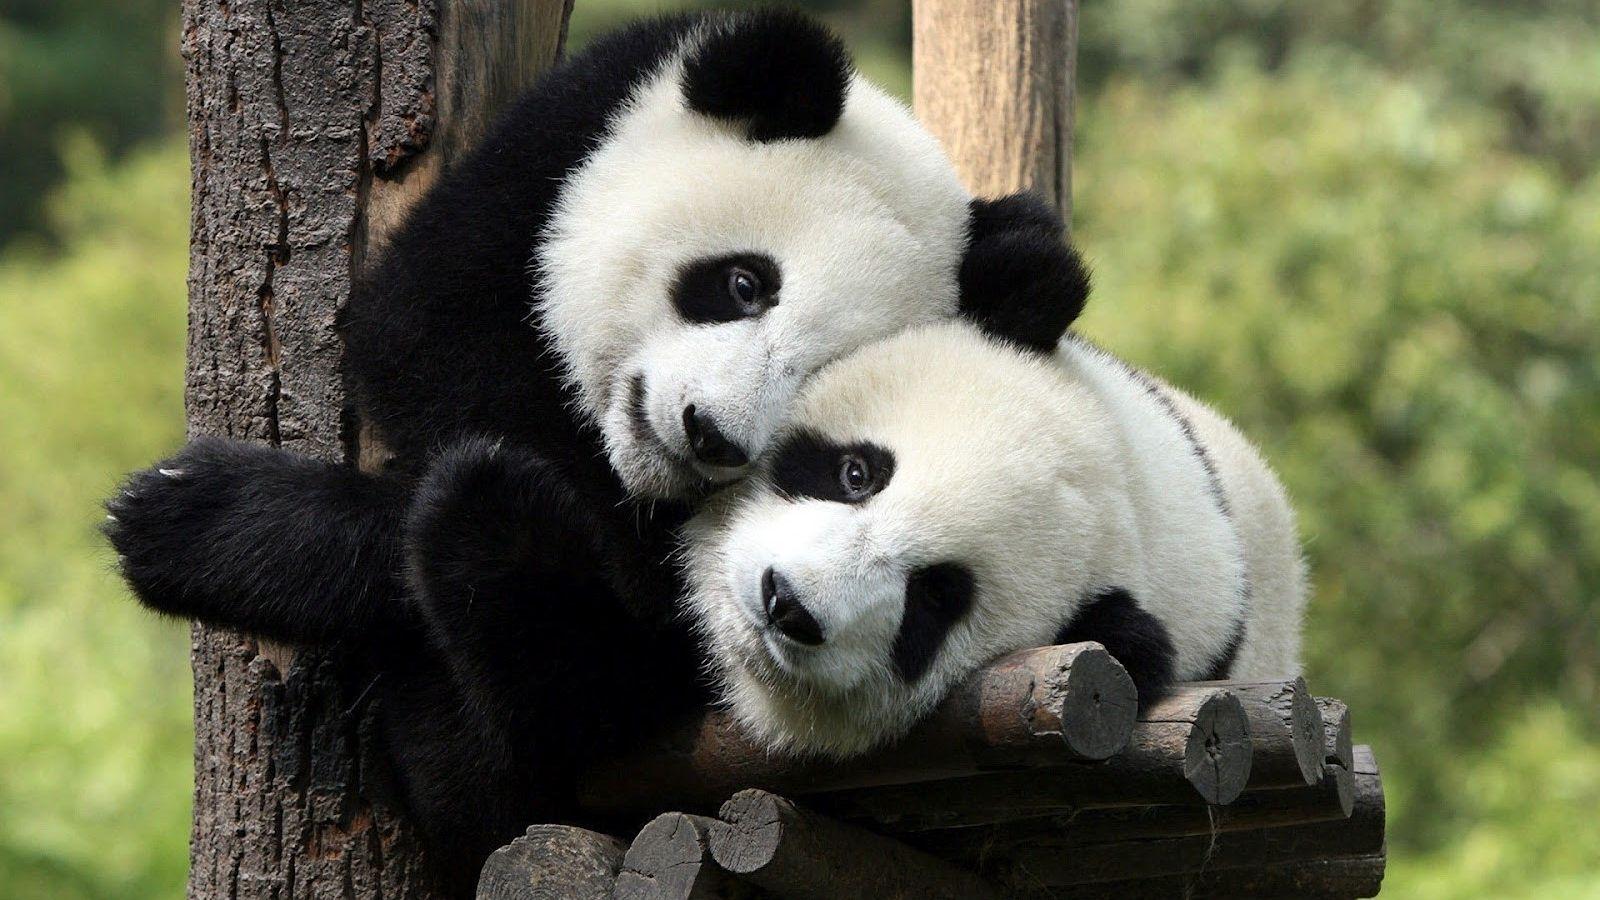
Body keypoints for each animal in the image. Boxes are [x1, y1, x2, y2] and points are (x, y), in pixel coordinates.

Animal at [103, 8, 1089, 890]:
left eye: (818, 375)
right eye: (743, 284)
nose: (709, 434)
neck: (618, 466)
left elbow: (623, 628)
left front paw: (197, 520)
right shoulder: (544, 168)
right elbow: (420, 338)